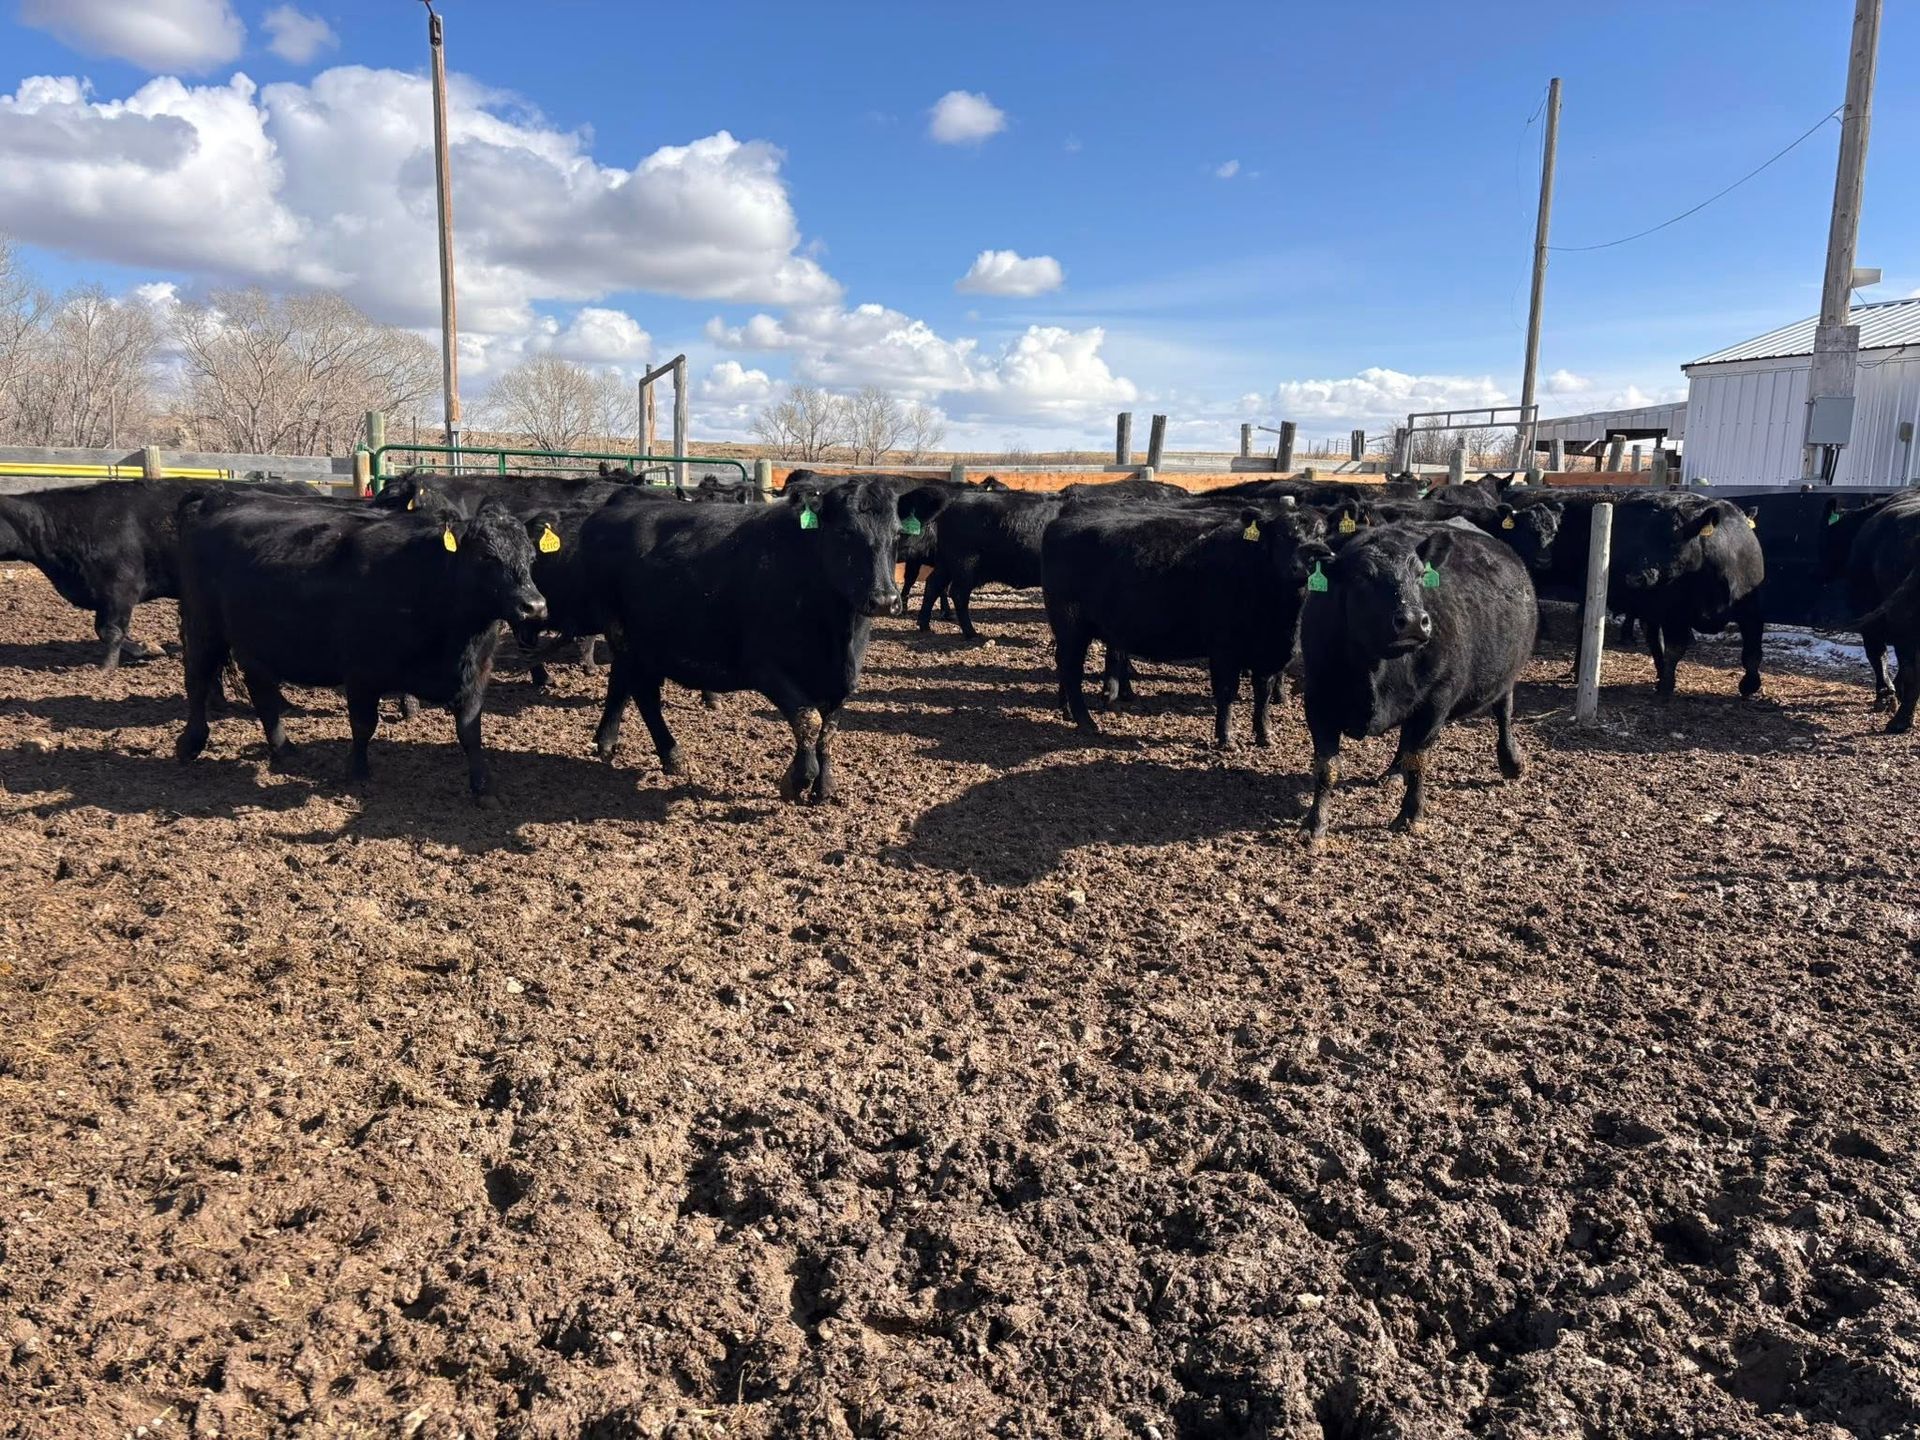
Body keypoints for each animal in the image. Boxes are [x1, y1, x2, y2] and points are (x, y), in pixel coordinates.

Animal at [173, 491, 551, 801]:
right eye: (486, 557)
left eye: (532, 557)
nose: (533, 606)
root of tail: (216, 500)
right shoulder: (360, 671)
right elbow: (363, 724)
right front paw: (356, 773)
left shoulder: (477, 674)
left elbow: (470, 731)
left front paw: (483, 787)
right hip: (202, 624)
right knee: (197, 678)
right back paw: (190, 743)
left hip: (256, 642)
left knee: (262, 691)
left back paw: (284, 749)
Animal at [580, 476, 950, 801]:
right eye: (845, 532)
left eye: (898, 535)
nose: (885, 600)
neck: (837, 635)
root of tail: (612, 509)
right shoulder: (765, 667)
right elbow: (808, 719)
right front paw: (798, 780)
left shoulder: (844, 679)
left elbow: (828, 730)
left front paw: (824, 786)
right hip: (627, 636)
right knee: (644, 693)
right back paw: (672, 756)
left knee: (622, 681)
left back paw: (607, 740)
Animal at [1042, 499, 1329, 746]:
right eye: (1280, 535)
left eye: (1321, 535)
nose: (1304, 563)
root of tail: (1063, 520)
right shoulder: (1224, 648)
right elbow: (1227, 691)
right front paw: (1226, 738)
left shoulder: (1267, 652)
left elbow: (1263, 693)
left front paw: (1264, 734)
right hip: (1071, 626)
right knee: (1071, 669)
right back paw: (1086, 722)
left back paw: (1067, 712)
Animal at [1299, 522, 1537, 845]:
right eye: (1363, 576)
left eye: (1421, 575)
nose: (1413, 621)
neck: (1374, 670)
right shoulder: (1317, 697)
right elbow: (1327, 768)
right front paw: (1315, 824)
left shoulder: (1436, 699)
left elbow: (1418, 760)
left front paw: (1411, 815)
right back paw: (1393, 772)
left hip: (1505, 674)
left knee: (1504, 711)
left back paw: (1511, 761)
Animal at [1823, 492, 1920, 729]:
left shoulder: (1867, 611)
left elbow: (1877, 653)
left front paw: (1885, 696)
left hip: (1902, 619)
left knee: (1912, 669)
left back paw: (1899, 721)